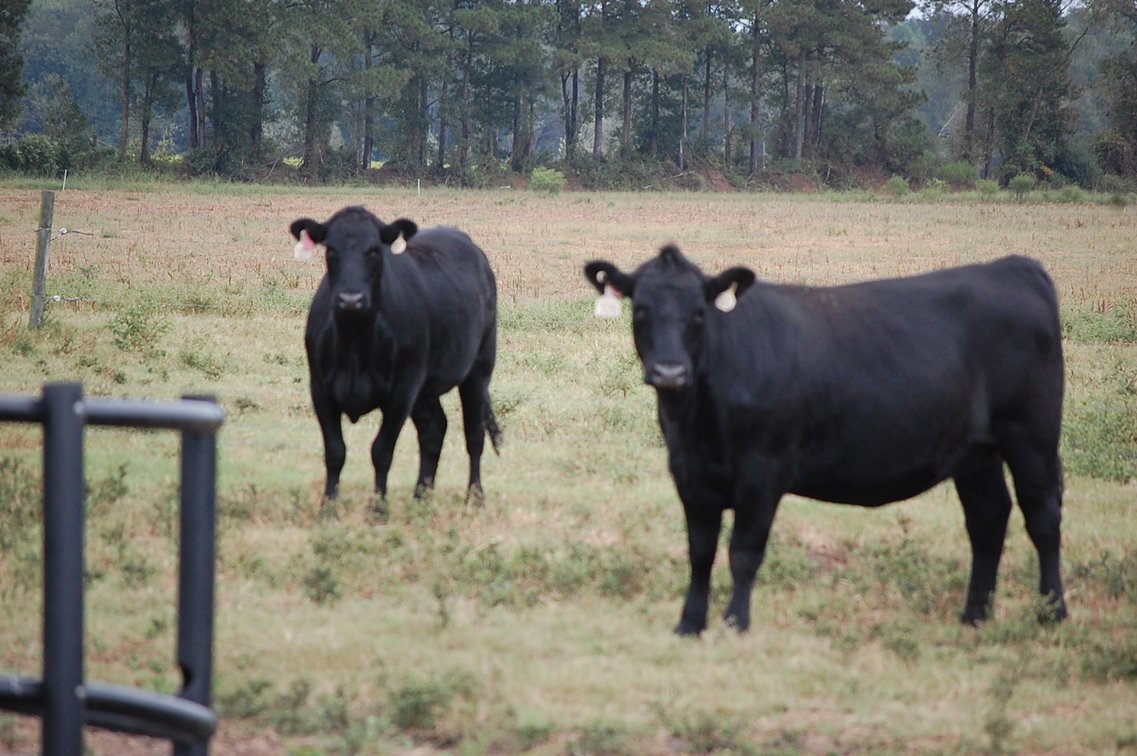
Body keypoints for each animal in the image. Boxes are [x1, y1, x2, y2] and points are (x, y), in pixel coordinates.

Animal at [290, 206, 501, 511]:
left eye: (374, 251)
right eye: (331, 249)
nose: (350, 299)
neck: (355, 341)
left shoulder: (402, 390)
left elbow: (381, 451)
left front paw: (378, 508)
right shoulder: (320, 387)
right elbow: (335, 451)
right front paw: (328, 507)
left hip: (478, 369)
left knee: (473, 434)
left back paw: (475, 497)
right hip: (425, 388)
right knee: (434, 429)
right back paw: (420, 498)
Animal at [584, 246, 1067, 636]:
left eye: (699, 313)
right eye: (641, 310)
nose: (669, 371)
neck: (699, 419)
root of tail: (1013, 266)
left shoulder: (764, 472)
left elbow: (744, 551)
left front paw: (736, 623)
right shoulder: (690, 474)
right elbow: (700, 552)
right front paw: (690, 624)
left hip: (1032, 435)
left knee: (1042, 516)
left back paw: (1052, 614)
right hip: (975, 453)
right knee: (988, 519)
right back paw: (974, 617)